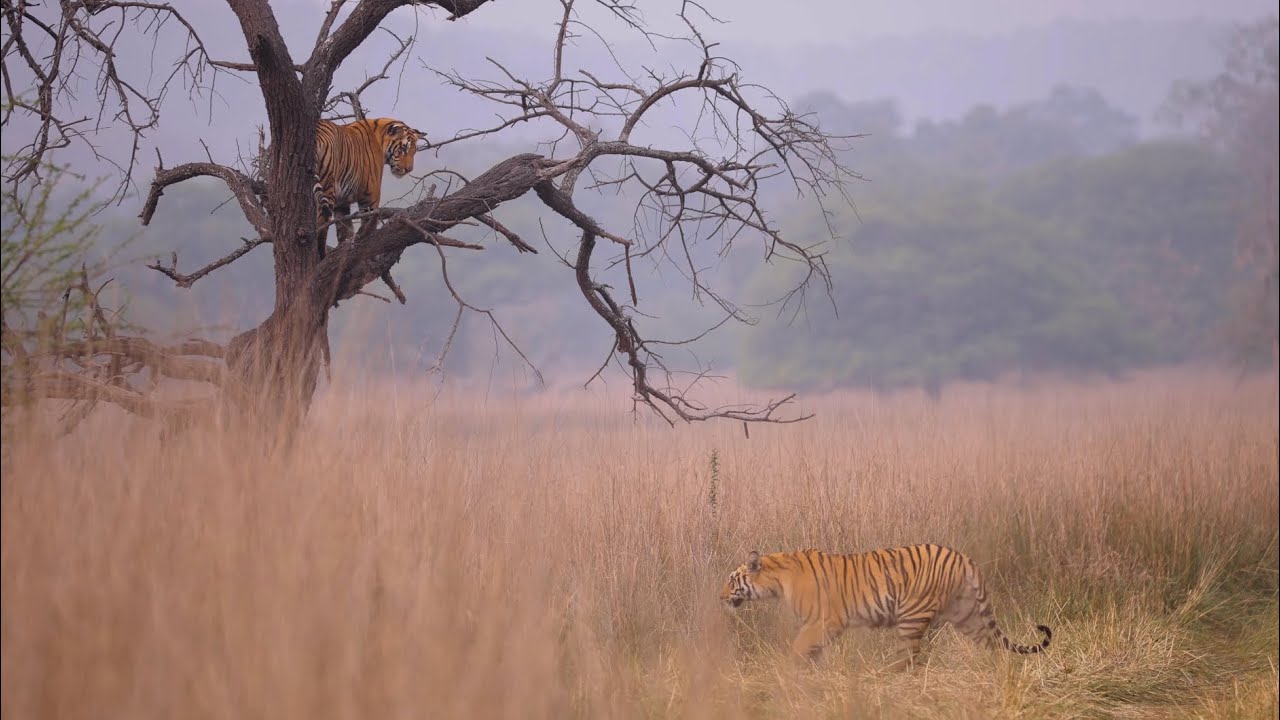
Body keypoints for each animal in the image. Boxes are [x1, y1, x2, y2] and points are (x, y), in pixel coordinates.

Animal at [312, 117, 425, 255]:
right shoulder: (371, 196)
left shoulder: (342, 202)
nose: (409, 169)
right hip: (327, 186)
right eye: (403, 149)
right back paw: (321, 255)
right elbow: (368, 228)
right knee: (322, 224)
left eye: (414, 151)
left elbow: (345, 230)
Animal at [720, 545, 1051, 670]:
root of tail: (962, 557)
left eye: (731, 580)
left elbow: (798, 648)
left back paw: (884, 675)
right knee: (993, 644)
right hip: (966, 613)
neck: (777, 580)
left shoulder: (823, 622)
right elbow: (815, 652)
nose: (720, 597)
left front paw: (788, 670)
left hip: (912, 616)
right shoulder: (822, 627)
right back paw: (995, 671)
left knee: (908, 657)